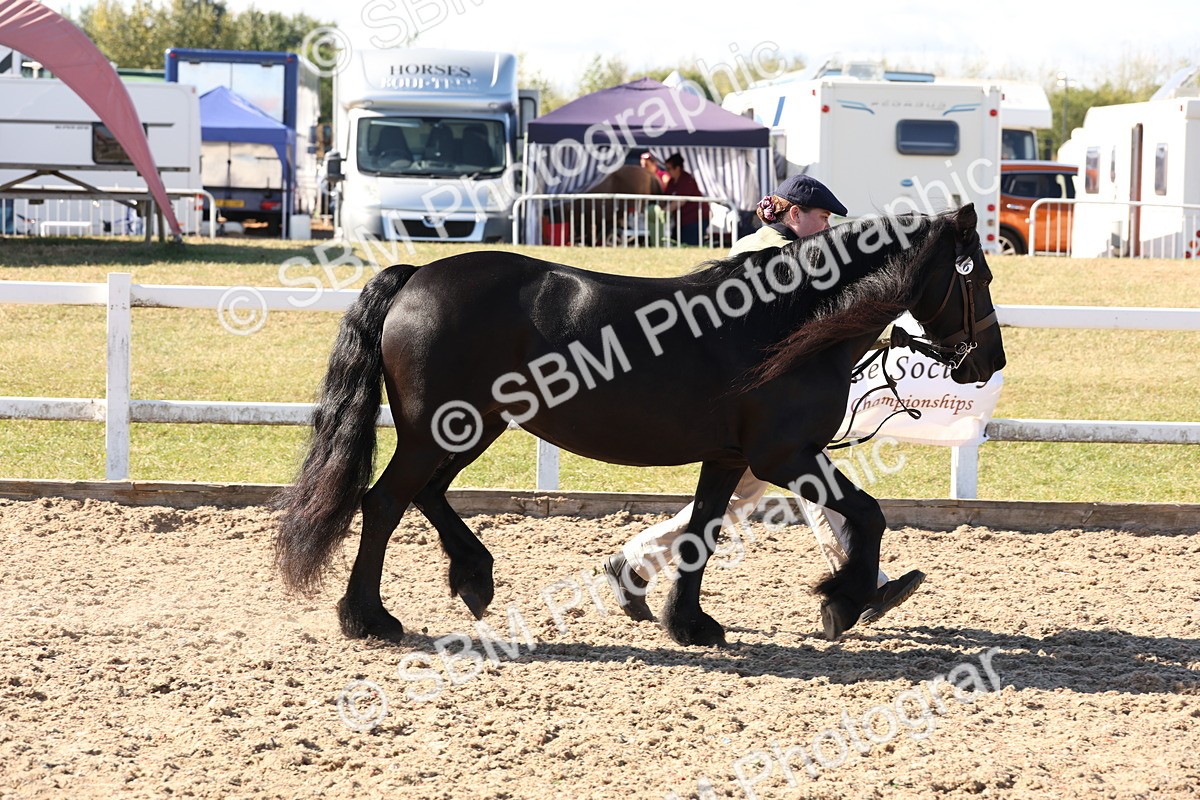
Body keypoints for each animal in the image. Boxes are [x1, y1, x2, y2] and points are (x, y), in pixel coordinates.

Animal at [275, 204, 1005, 647]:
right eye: (980, 278)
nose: (989, 361)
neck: (785, 323)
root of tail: (416, 274)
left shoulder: (730, 457)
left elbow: (701, 533)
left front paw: (691, 623)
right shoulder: (786, 455)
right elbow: (870, 515)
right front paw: (842, 602)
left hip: (475, 427)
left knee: (426, 494)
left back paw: (474, 578)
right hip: (439, 431)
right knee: (384, 502)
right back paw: (368, 617)